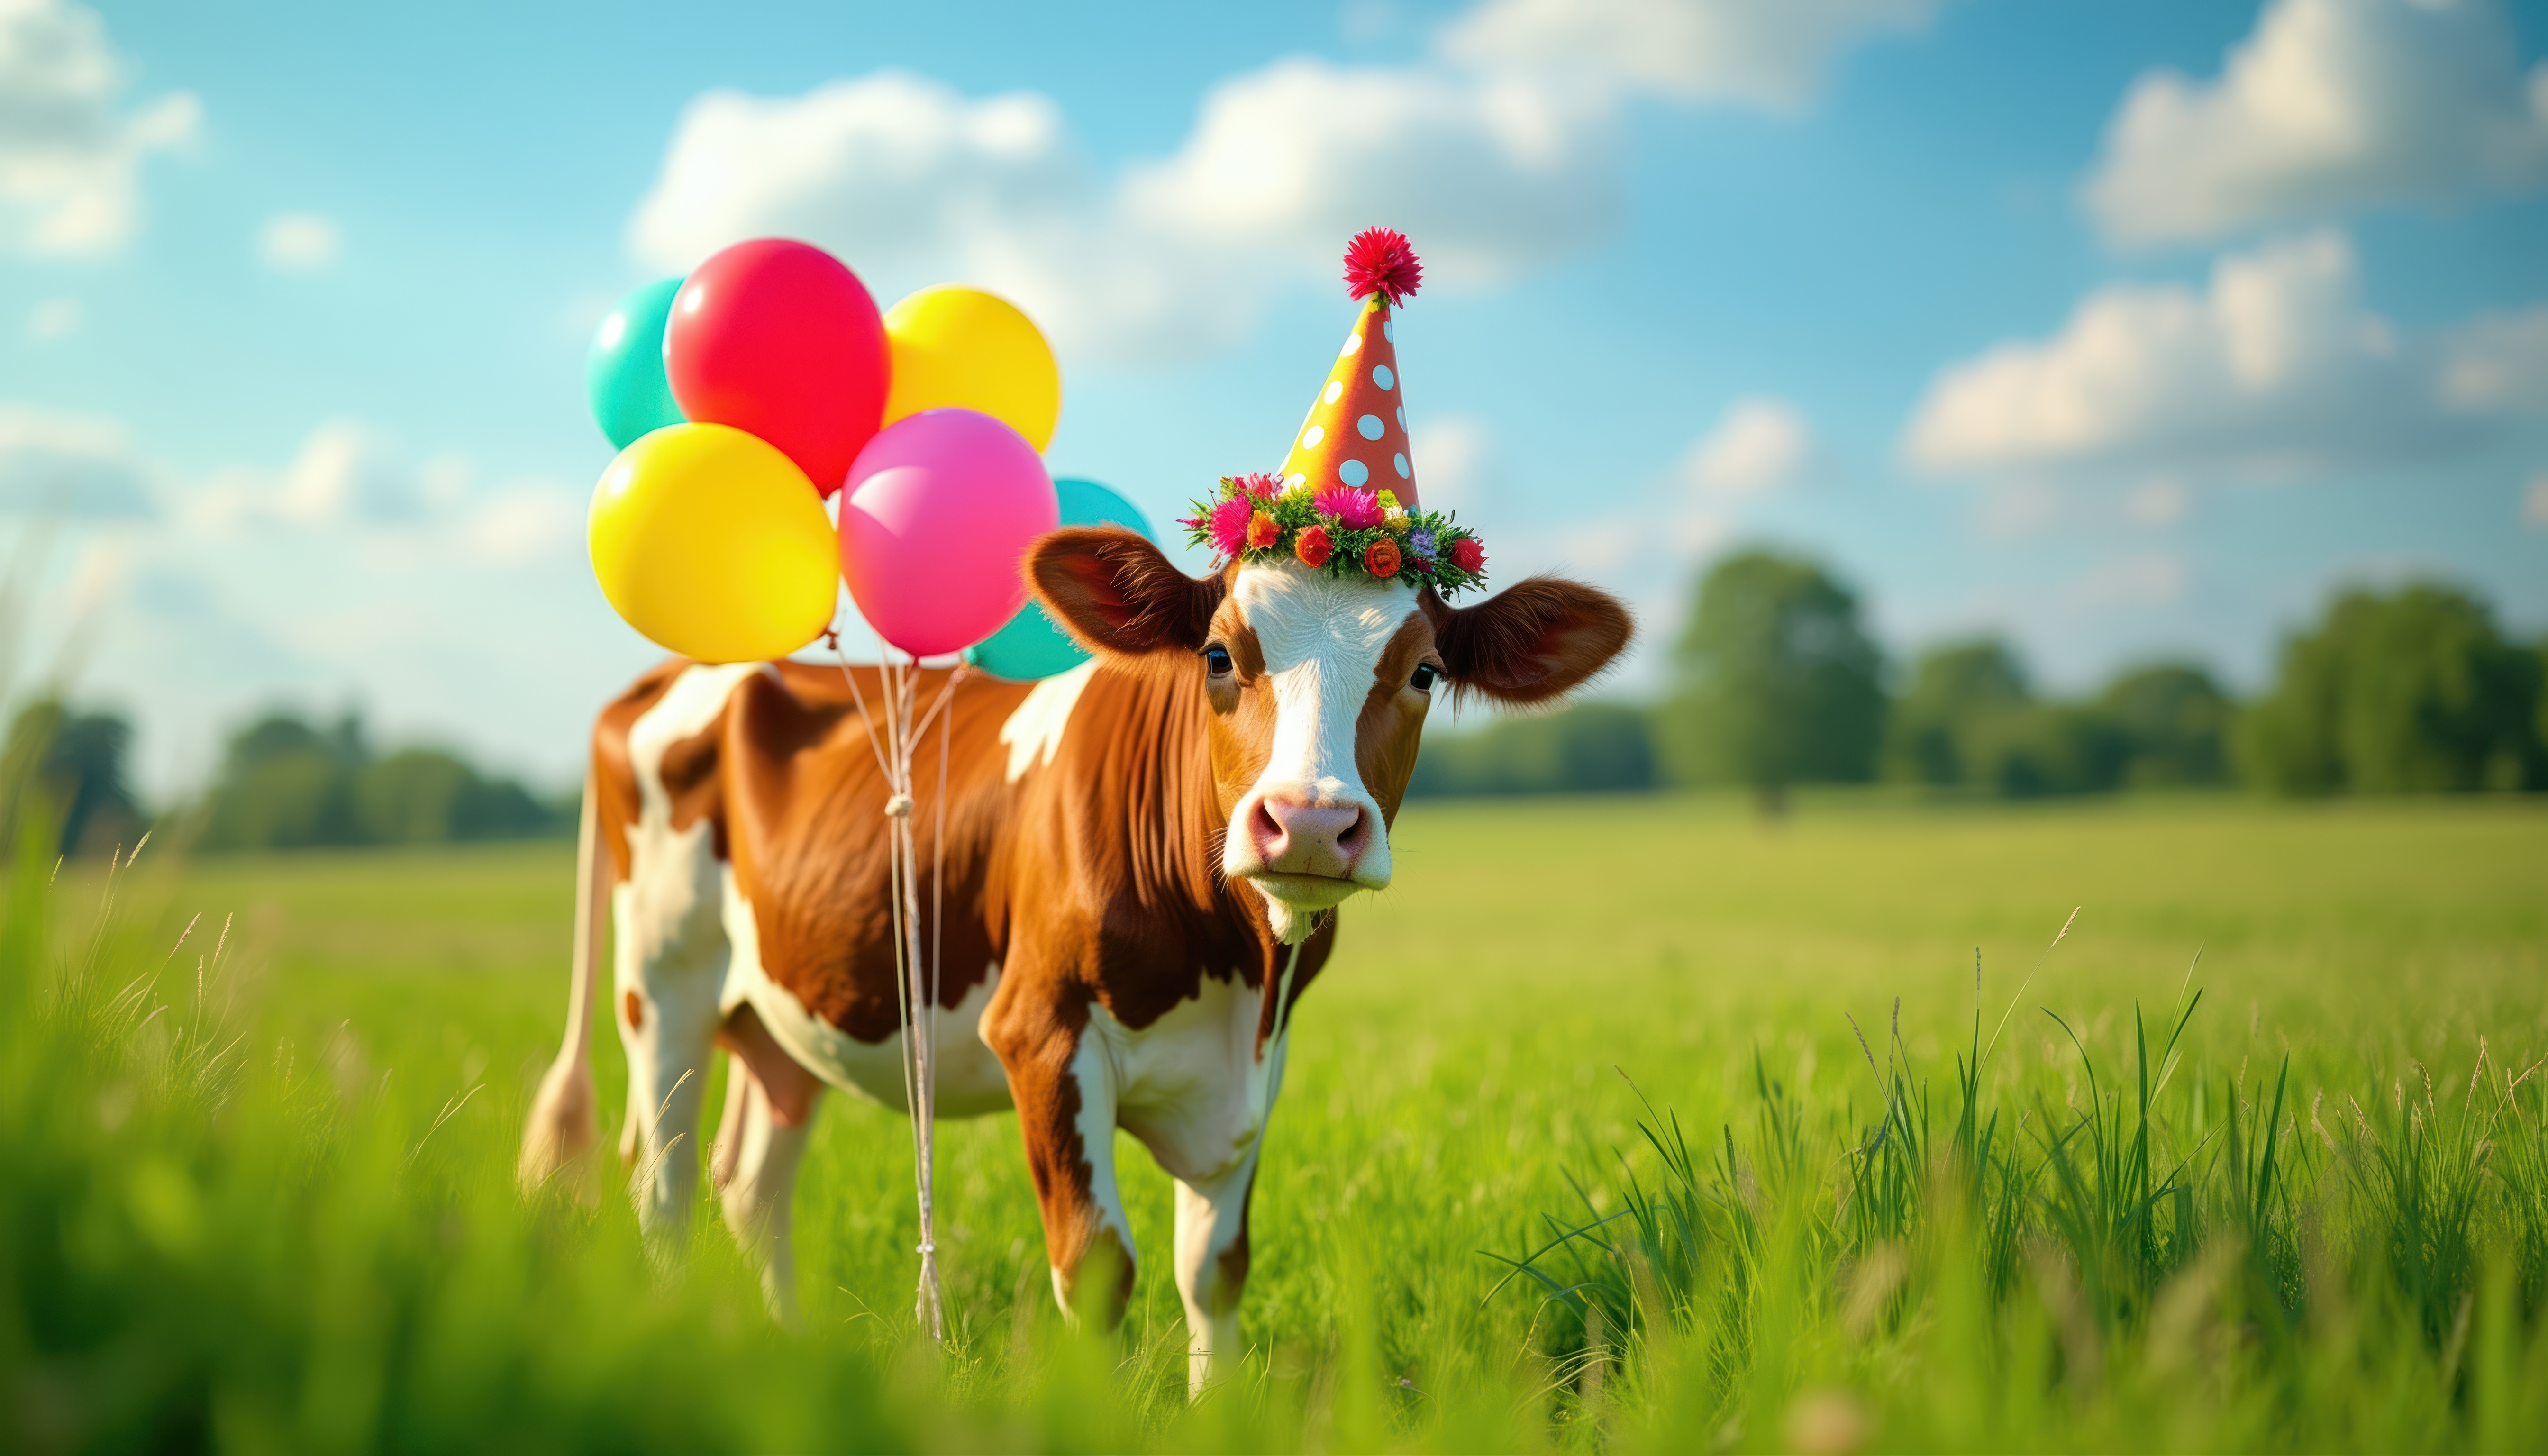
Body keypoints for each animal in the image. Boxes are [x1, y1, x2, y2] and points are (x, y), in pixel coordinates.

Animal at [517, 526, 1631, 1391]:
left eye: (1425, 671)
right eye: (1219, 655)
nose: (1311, 822)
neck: (1233, 971)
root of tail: (688, 670)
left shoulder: (1258, 1066)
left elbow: (1214, 1266)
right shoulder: (1042, 1035)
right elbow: (1097, 1265)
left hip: (788, 1012)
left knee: (751, 1184)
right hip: (662, 984)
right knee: (661, 1184)